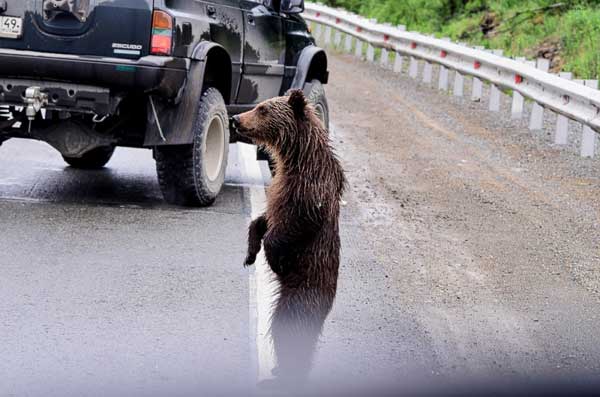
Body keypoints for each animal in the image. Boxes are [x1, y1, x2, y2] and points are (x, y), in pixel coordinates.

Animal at [233, 90, 346, 384]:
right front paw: (249, 254)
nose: (236, 118)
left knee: (288, 330)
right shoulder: (281, 186)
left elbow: (292, 226)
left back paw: (284, 375)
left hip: (301, 295)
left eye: (262, 109)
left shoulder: (308, 193)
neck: (297, 157)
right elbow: (264, 219)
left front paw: (274, 259)